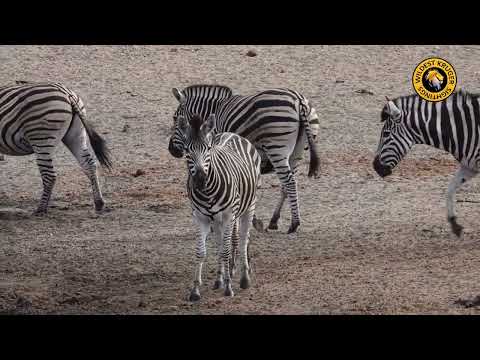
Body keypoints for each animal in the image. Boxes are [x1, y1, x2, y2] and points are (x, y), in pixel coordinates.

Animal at [0, 81, 111, 214]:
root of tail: (66, 93)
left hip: (41, 138)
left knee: (49, 175)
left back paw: (41, 209)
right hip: (76, 135)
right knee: (89, 165)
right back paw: (99, 202)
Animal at [167, 84, 320, 233]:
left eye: (175, 118)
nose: (171, 149)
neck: (214, 111)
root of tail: (299, 100)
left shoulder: (217, 144)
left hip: (276, 147)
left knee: (289, 182)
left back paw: (294, 223)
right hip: (297, 151)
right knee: (286, 184)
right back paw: (274, 220)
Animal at [179, 113, 262, 300]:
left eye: (208, 148)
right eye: (187, 150)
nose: (200, 179)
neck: (207, 192)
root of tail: (232, 134)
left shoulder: (228, 216)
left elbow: (226, 251)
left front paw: (229, 288)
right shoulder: (200, 218)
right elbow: (201, 252)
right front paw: (195, 290)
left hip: (248, 206)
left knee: (243, 239)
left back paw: (244, 278)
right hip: (216, 220)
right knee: (221, 243)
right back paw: (219, 279)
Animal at [374, 89, 480, 236]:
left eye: (386, 134)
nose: (375, 166)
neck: (466, 128)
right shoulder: (470, 166)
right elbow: (450, 189)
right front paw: (454, 223)